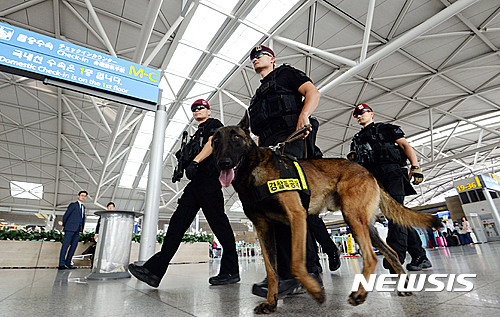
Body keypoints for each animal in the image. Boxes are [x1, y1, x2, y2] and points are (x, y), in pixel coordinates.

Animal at [213, 112, 440, 312]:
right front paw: (271, 302)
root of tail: (368, 172)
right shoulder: (264, 229)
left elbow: (296, 263)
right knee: (391, 252)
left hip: (353, 219)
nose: (223, 163)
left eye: (235, 138)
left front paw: (315, 290)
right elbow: (271, 270)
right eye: (215, 141)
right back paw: (403, 286)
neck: (252, 172)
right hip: (365, 226)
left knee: (371, 258)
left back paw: (360, 294)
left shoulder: (297, 217)